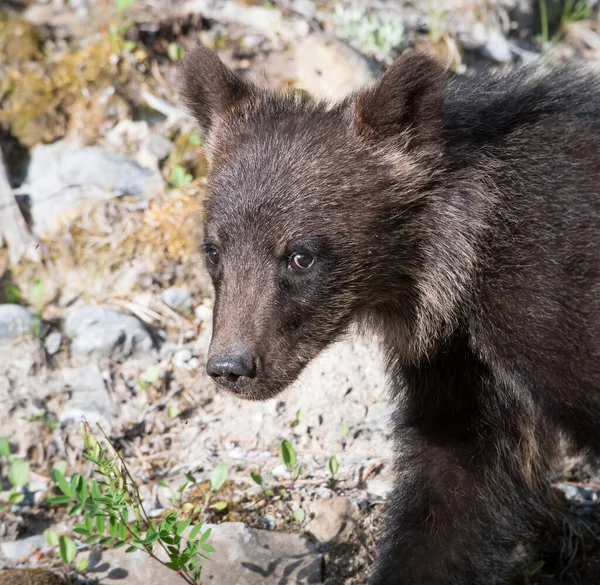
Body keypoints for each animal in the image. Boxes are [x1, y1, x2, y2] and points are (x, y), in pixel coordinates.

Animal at [180, 46, 600, 584]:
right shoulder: (461, 360)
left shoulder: (554, 300)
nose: (231, 366)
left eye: (300, 255)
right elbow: (456, 486)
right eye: (214, 250)